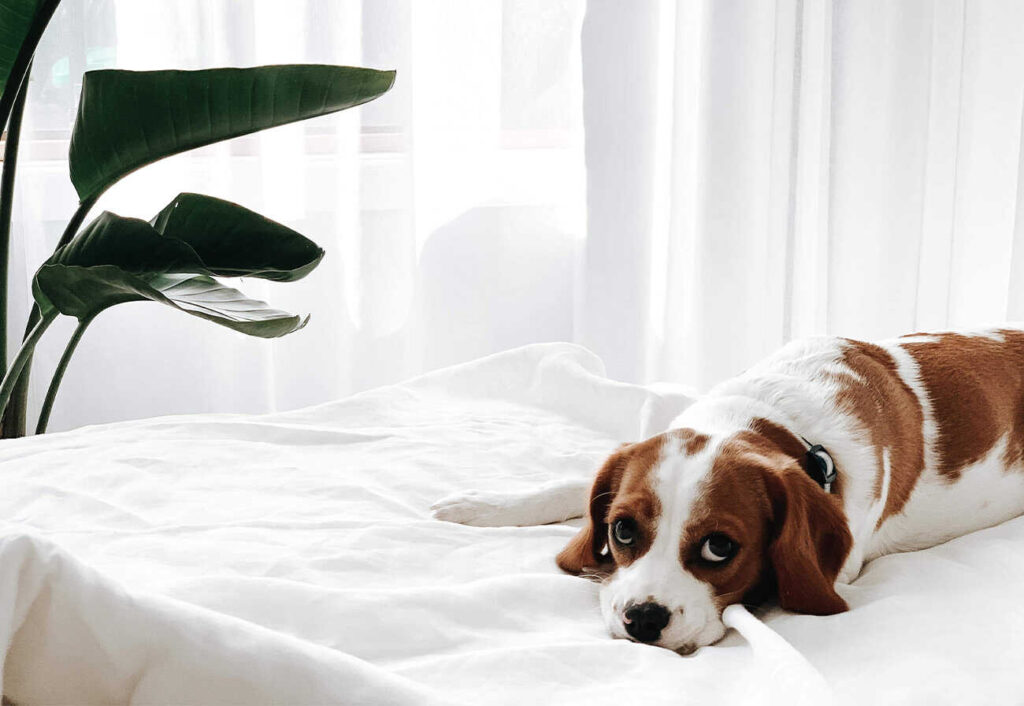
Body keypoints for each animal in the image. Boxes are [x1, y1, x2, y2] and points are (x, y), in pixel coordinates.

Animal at [428, 329, 1024, 655]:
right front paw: (486, 505)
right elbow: (577, 483)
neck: (769, 420)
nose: (642, 620)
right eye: (622, 530)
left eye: (720, 548)